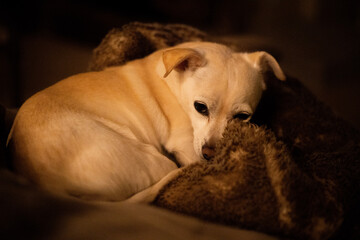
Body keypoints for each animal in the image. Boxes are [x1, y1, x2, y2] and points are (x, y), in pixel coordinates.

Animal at [7, 41, 286, 202]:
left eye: (242, 117)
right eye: (200, 108)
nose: (210, 154)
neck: (174, 80)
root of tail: (50, 186)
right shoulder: (185, 145)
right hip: (156, 160)